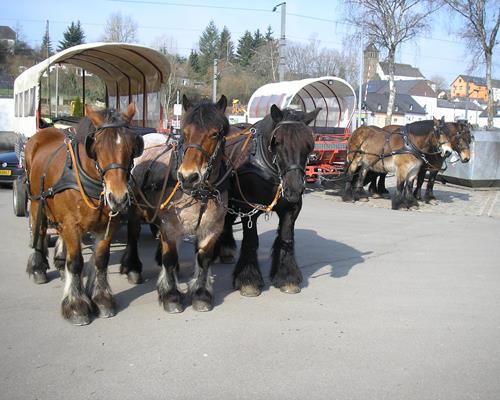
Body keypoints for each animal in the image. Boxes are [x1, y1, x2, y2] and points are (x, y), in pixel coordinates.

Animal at [24, 104, 145, 324]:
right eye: (96, 147)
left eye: (133, 146)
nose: (118, 198)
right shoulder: (71, 224)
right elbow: (76, 263)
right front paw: (76, 305)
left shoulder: (107, 226)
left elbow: (100, 260)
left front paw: (102, 299)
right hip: (37, 201)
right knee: (40, 229)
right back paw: (38, 267)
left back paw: (60, 261)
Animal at [121, 95, 230, 314]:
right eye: (185, 133)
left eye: (215, 134)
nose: (188, 177)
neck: (200, 193)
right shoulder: (170, 227)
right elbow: (169, 258)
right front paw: (170, 295)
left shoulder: (213, 227)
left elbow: (204, 259)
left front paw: (201, 294)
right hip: (136, 210)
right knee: (133, 234)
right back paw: (133, 268)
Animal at [216, 104, 320, 296]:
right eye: (277, 142)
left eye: (309, 144)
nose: (294, 188)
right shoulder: (249, 208)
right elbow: (251, 241)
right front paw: (248, 281)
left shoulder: (291, 208)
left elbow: (286, 239)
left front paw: (287, 277)